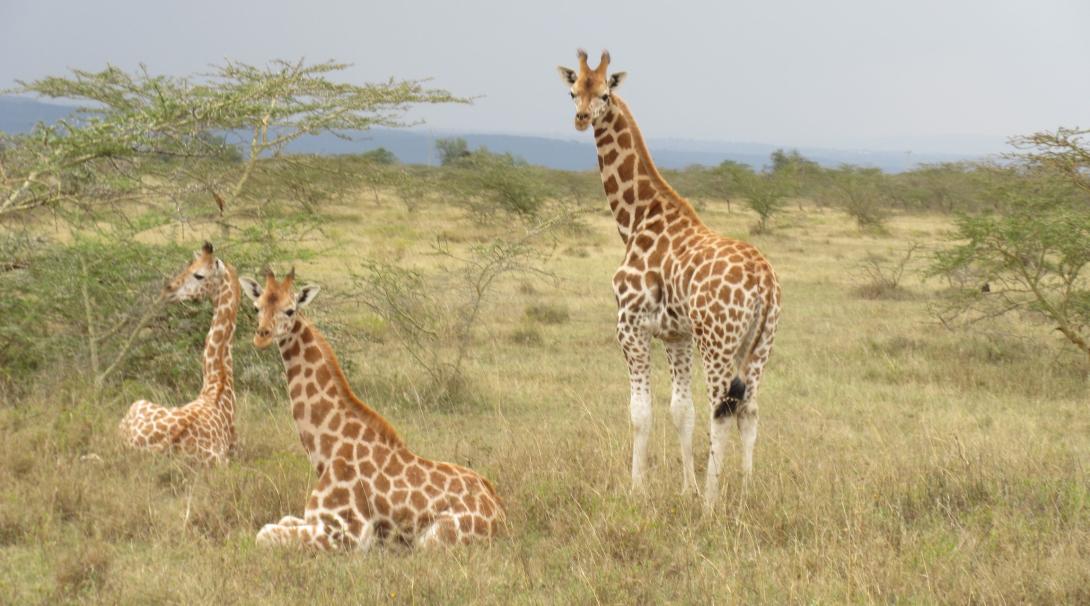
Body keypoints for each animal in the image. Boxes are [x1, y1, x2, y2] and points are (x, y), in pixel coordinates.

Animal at [240, 270, 503, 549]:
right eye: (256, 307)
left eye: (290, 310)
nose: (262, 335)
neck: (327, 452)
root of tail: (500, 513)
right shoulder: (313, 518)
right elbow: (278, 522)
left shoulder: (349, 531)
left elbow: (263, 534)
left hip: (433, 538)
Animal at [558, 50, 780, 505]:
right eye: (572, 91)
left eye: (605, 94)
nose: (582, 117)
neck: (636, 217)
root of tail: (764, 283)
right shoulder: (676, 335)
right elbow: (681, 410)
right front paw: (685, 488)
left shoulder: (630, 326)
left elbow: (640, 412)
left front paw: (637, 490)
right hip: (759, 344)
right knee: (749, 409)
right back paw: (745, 494)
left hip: (718, 341)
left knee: (722, 411)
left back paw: (712, 504)